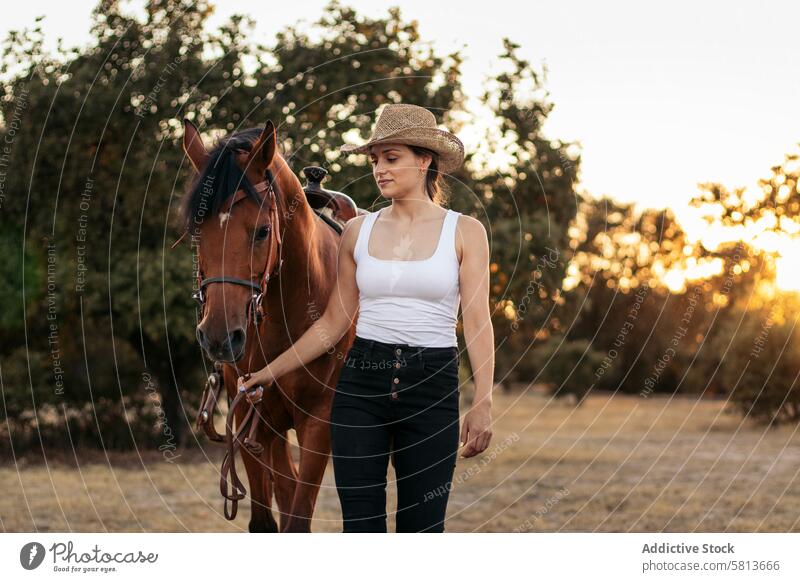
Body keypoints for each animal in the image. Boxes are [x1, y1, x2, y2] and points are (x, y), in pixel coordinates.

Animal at [183, 117, 358, 532]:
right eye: (197, 231)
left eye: (263, 230)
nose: (219, 337)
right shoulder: (250, 416)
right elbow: (265, 519)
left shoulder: (319, 422)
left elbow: (297, 519)